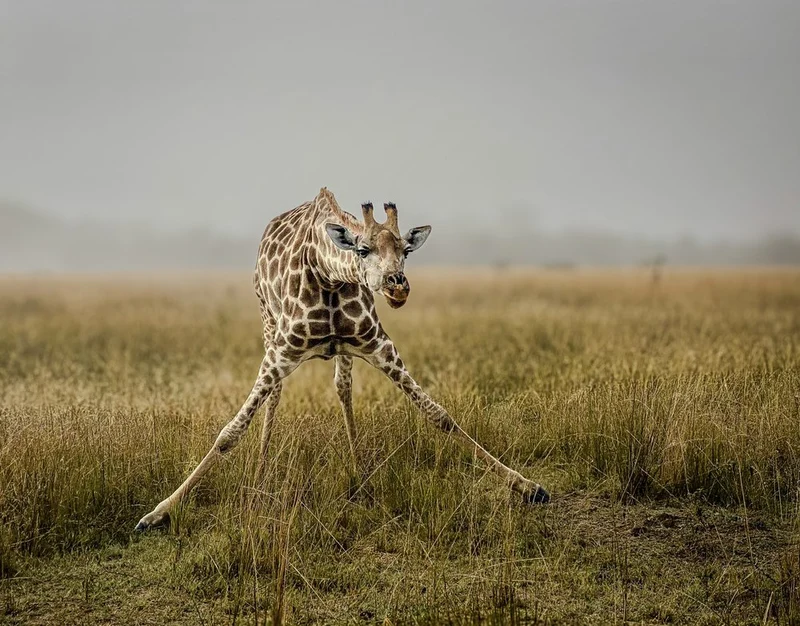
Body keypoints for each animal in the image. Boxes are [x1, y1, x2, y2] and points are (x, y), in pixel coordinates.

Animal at [135, 188, 548, 531]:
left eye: (406, 250)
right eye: (362, 250)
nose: (398, 286)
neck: (328, 275)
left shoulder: (379, 344)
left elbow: (439, 415)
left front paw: (528, 486)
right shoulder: (282, 351)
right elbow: (229, 433)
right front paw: (158, 512)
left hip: (343, 352)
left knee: (343, 389)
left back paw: (360, 476)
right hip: (268, 325)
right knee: (275, 397)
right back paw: (263, 470)